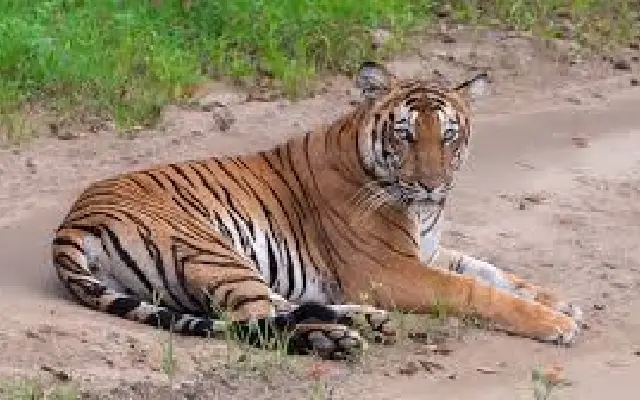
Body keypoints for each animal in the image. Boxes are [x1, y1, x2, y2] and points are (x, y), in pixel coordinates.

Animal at [51, 61, 582, 359]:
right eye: (406, 134)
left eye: (449, 135)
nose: (433, 185)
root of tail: (70, 224)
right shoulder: (393, 270)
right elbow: (478, 290)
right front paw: (558, 324)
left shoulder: (427, 253)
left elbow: (495, 272)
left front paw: (563, 303)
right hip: (211, 248)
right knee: (256, 323)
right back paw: (336, 341)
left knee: (282, 309)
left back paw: (364, 323)